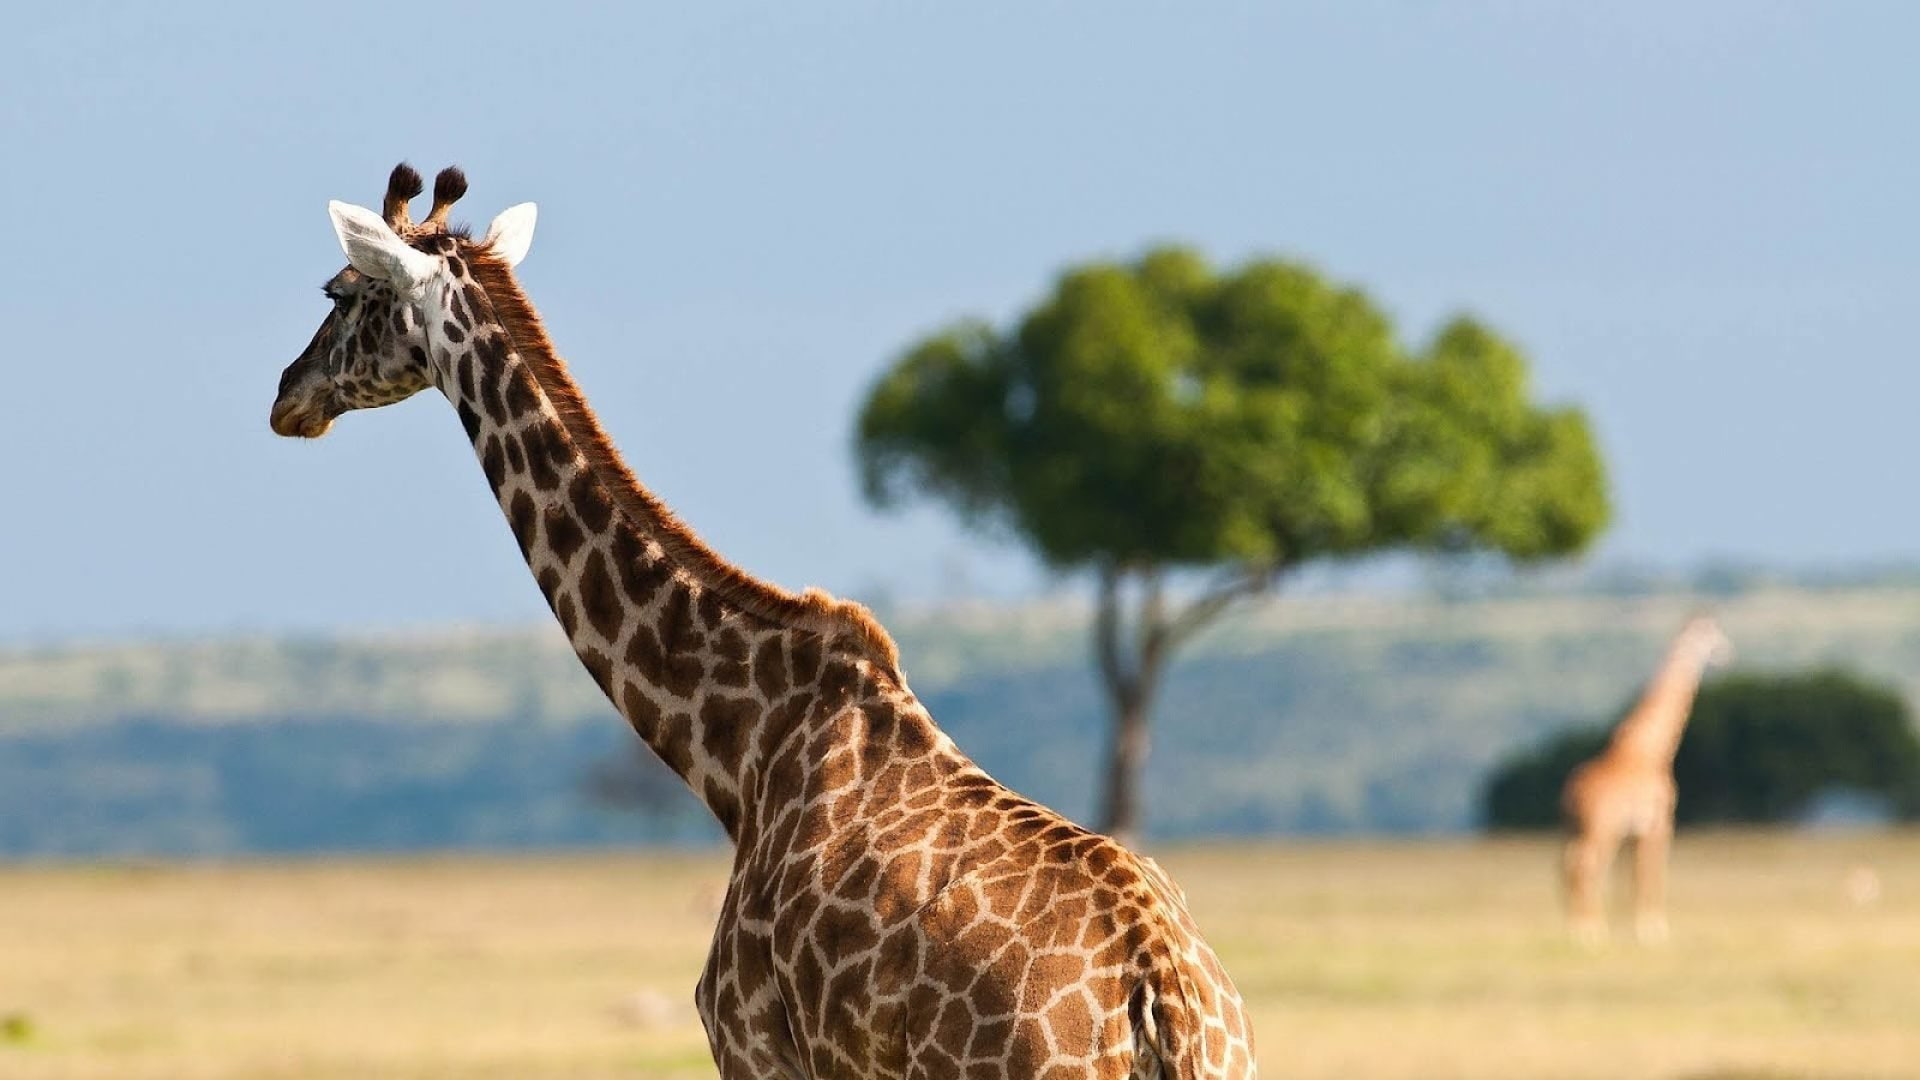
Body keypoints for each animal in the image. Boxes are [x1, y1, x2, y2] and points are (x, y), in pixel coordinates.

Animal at [1560, 614, 1733, 945]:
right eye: (1711, 635)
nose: (1726, 654)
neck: (1651, 750)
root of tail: (1571, 794)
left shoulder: (1635, 831)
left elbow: (1630, 877)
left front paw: (1633, 928)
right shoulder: (1660, 822)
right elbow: (1651, 873)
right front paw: (1654, 930)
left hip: (1574, 828)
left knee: (1567, 865)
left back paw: (1577, 927)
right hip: (1603, 827)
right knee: (1586, 865)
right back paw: (1589, 932)